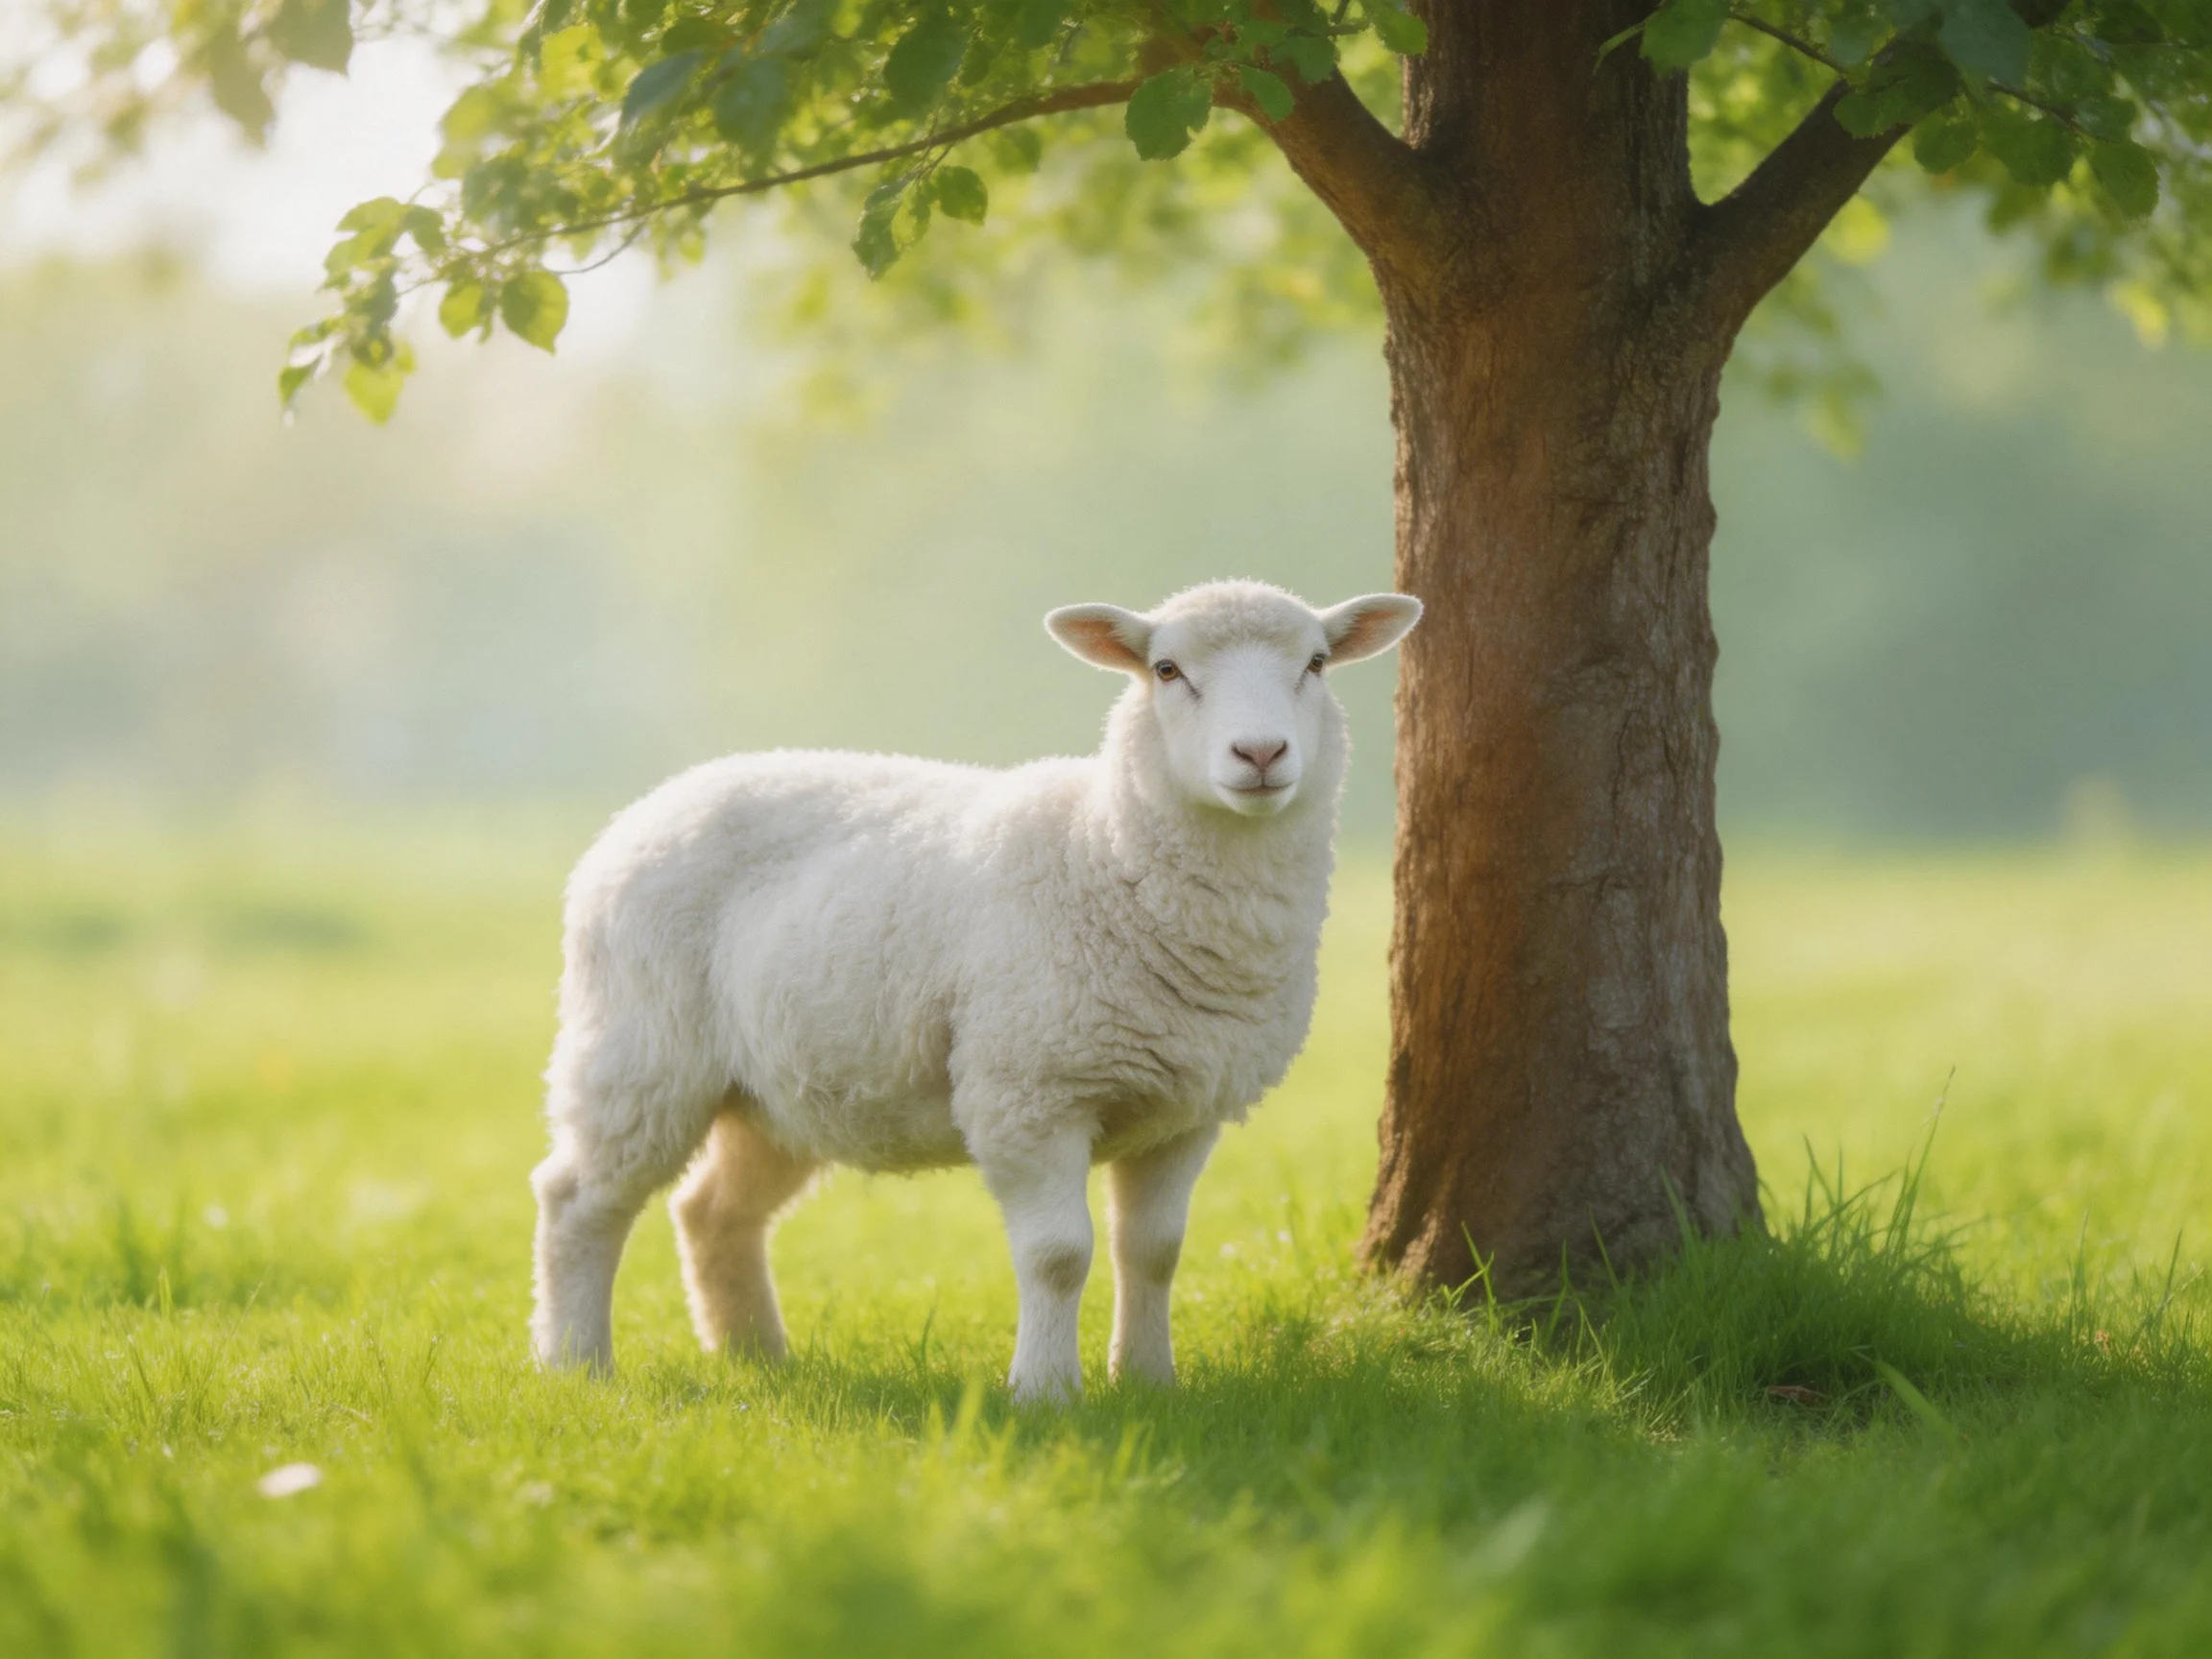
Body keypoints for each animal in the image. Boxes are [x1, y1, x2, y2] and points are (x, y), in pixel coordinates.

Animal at [529, 579, 1422, 1401]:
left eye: (1315, 663)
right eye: (1167, 670)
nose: (1261, 754)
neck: (1109, 852)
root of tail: (653, 804)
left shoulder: (1187, 1108)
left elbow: (1154, 1252)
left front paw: (1148, 1383)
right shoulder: (1028, 1090)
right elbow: (1059, 1255)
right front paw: (1046, 1393)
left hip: (775, 1089)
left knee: (713, 1210)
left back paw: (757, 1358)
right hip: (640, 1048)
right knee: (578, 1198)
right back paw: (576, 1362)